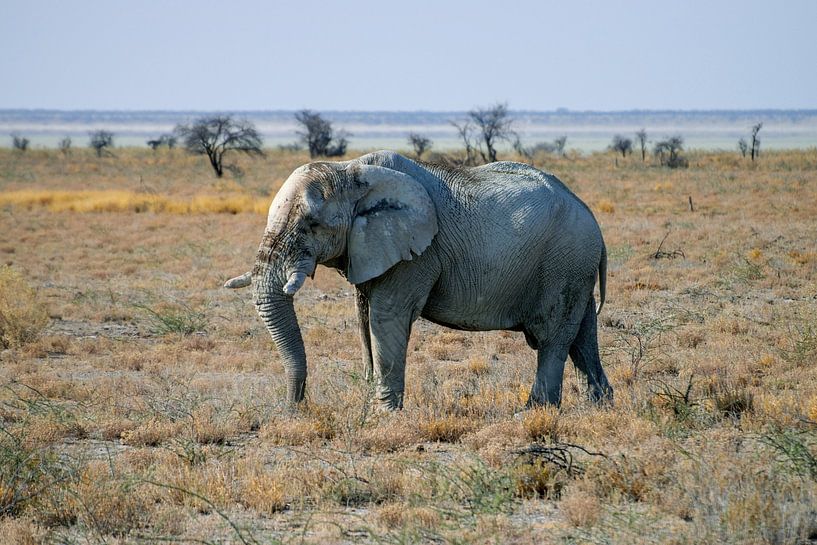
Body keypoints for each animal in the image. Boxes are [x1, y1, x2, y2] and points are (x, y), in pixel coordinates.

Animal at [225, 150, 612, 410]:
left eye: (312, 225)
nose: (295, 408)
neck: (349, 170)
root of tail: (590, 214)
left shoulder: (417, 254)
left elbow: (386, 317)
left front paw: (383, 415)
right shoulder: (368, 248)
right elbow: (366, 318)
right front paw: (370, 405)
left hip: (564, 261)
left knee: (551, 336)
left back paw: (533, 412)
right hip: (575, 268)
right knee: (581, 334)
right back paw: (600, 405)